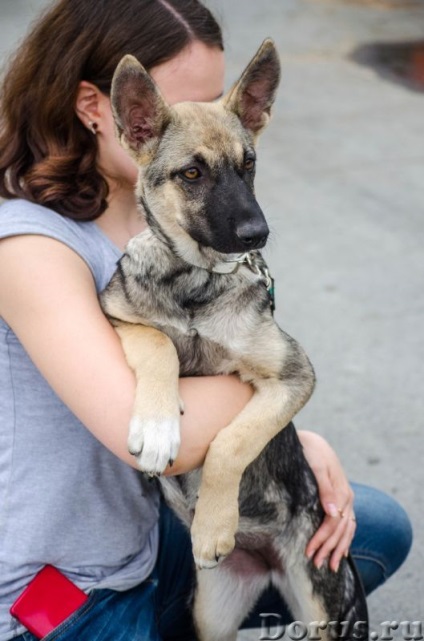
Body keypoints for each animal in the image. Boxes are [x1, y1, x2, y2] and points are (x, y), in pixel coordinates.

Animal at [100, 41, 368, 640]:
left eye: (249, 166)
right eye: (192, 172)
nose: (256, 235)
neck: (193, 283)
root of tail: (263, 565)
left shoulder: (293, 374)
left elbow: (233, 442)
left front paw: (211, 526)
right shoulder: (117, 318)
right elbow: (157, 344)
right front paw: (157, 428)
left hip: (324, 602)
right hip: (212, 615)